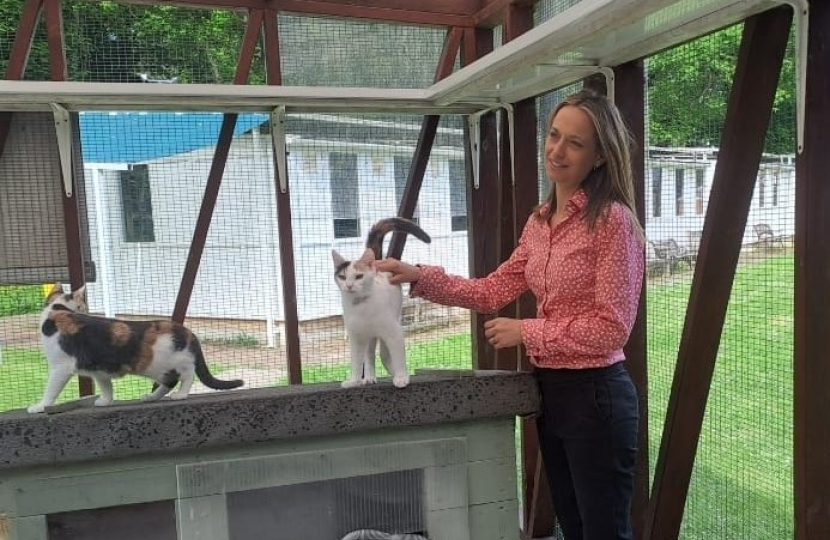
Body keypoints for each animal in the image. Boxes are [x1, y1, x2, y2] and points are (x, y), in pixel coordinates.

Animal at [28, 286, 244, 414]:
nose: (87, 310)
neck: (57, 311)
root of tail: (187, 331)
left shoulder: (60, 367)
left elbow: (50, 391)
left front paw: (40, 406)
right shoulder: (100, 370)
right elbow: (107, 387)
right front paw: (105, 401)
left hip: (169, 362)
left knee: (187, 375)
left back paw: (181, 394)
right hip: (159, 369)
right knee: (169, 382)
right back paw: (151, 397)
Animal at [332, 217, 432, 390]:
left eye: (359, 276)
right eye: (342, 277)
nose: (349, 286)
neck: (361, 305)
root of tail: (378, 261)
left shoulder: (394, 333)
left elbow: (398, 357)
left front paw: (401, 377)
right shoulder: (356, 338)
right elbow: (356, 363)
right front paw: (353, 380)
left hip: (391, 322)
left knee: (383, 353)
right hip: (368, 336)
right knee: (370, 355)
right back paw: (369, 377)